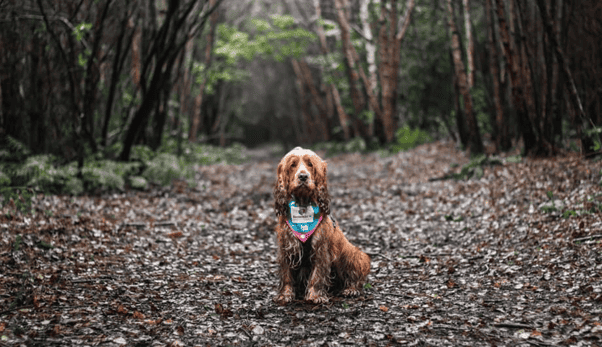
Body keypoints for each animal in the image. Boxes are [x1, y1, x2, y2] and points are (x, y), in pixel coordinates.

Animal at [274, 147, 368, 304]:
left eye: (310, 164)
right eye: (293, 164)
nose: (303, 177)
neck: (303, 205)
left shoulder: (320, 248)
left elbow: (317, 274)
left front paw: (315, 296)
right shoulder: (287, 247)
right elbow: (286, 274)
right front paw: (285, 294)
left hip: (352, 254)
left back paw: (351, 289)